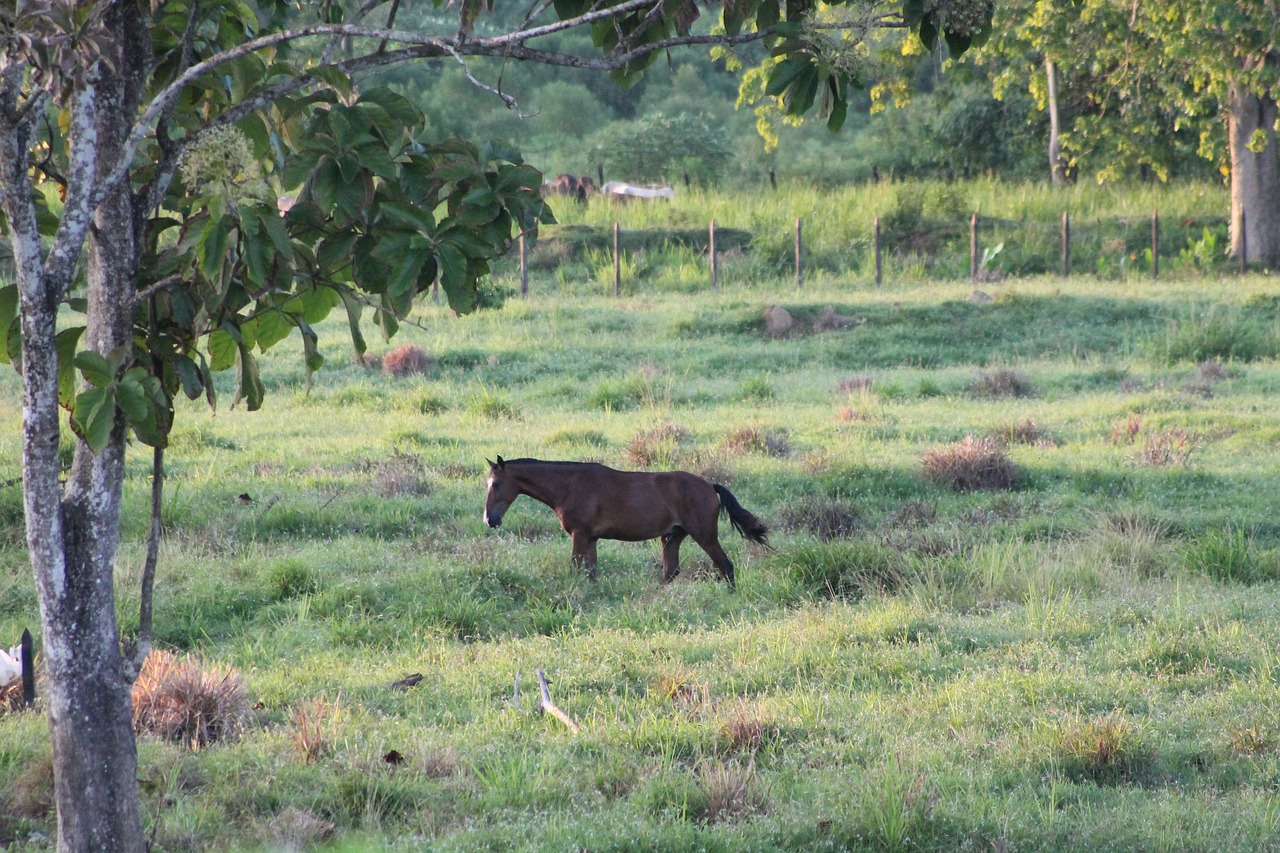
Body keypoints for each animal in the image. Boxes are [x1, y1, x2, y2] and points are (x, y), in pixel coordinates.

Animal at [481, 455, 768, 589]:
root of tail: (710, 486)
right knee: (671, 572)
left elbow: (575, 569)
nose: (489, 519)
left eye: (495, 484)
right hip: (673, 536)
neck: (570, 485)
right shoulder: (591, 538)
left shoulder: (580, 535)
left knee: (726, 566)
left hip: (704, 535)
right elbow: (591, 573)